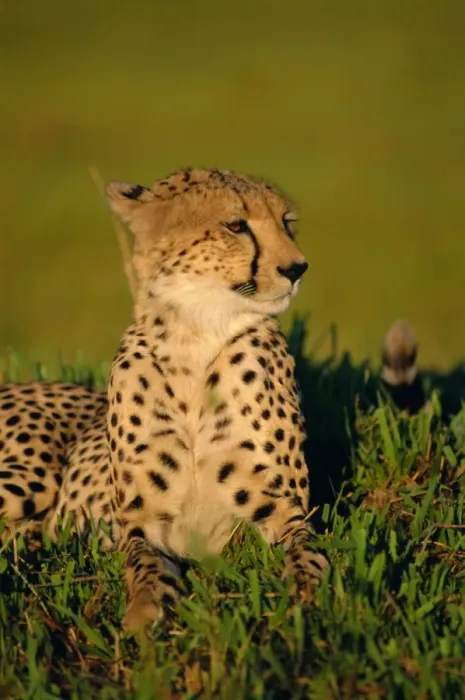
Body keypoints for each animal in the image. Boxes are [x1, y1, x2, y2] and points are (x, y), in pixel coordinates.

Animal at [0, 167, 329, 633]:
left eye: (287, 222)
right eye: (236, 225)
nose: (297, 267)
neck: (196, 334)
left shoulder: (283, 507)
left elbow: (306, 552)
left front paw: (305, 589)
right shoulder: (143, 522)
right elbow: (144, 565)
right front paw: (144, 610)